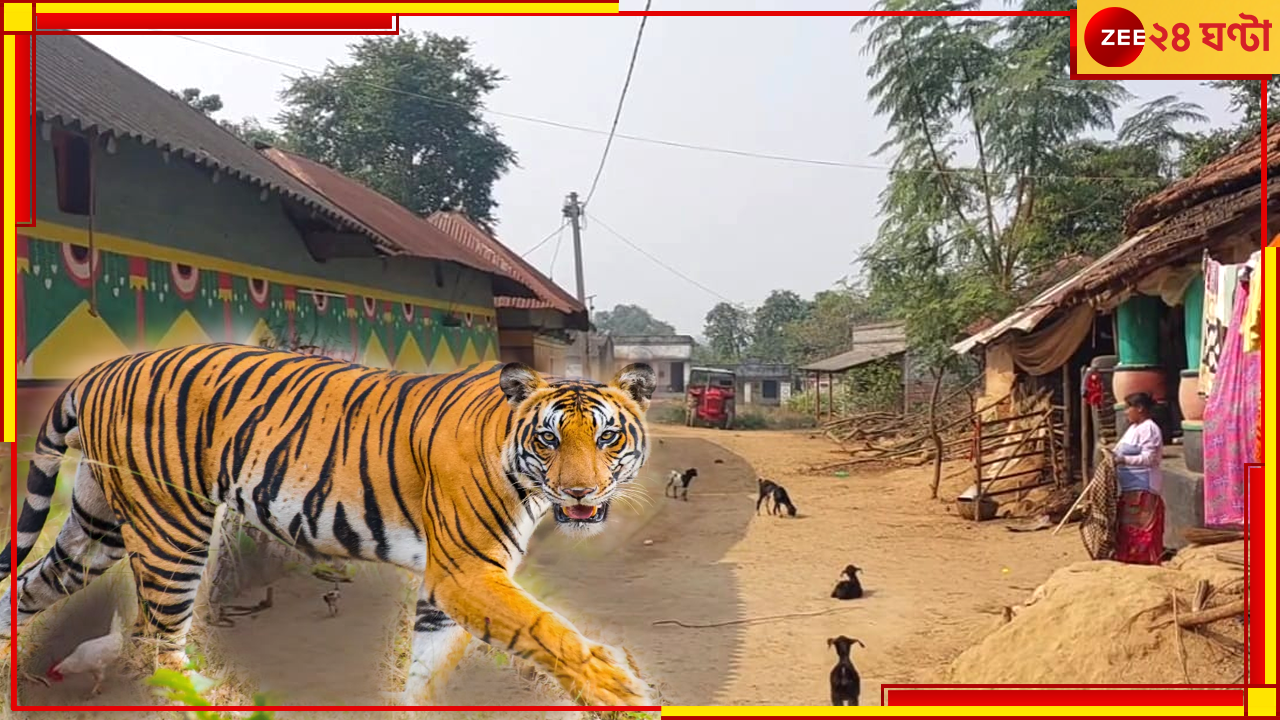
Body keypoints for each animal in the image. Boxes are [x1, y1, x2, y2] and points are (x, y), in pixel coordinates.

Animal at [0, 343, 658, 706]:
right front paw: (620, 689)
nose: (580, 492)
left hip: (96, 529)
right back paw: (216, 699)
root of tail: (99, 370)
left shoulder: (446, 591)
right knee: (158, 646)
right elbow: (550, 630)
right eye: (548, 439)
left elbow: (423, 672)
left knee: (28, 585)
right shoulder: (466, 572)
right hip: (172, 531)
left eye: (607, 437)